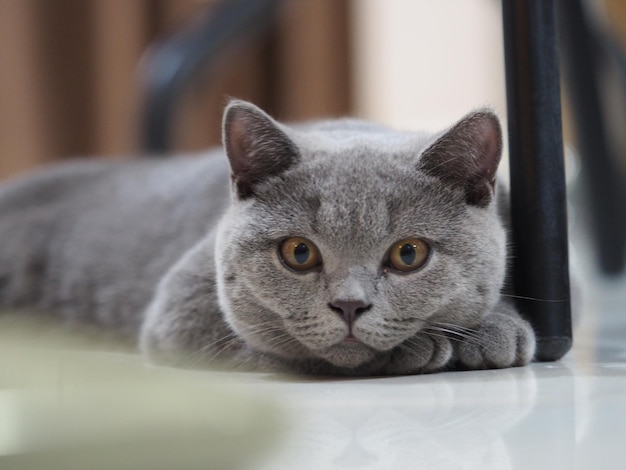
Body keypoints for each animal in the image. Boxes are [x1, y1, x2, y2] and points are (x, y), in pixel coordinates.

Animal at [1, 99, 536, 374]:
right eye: (299, 253)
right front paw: (421, 349)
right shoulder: (181, 305)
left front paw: (494, 329)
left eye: (409, 254)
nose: (349, 306)